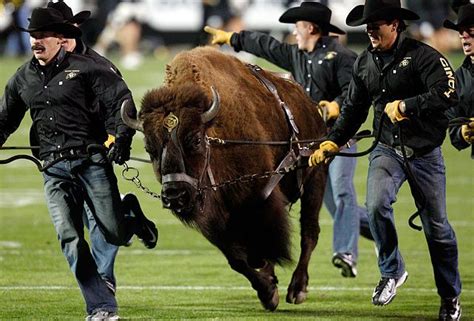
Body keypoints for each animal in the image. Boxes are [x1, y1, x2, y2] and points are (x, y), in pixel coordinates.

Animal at [123, 46, 330, 308]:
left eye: (195, 140)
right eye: (149, 148)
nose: (174, 195)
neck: (216, 137)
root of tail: (309, 104)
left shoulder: (261, 197)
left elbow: (263, 242)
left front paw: (272, 289)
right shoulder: (214, 221)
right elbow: (237, 259)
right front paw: (268, 291)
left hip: (316, 177)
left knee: (309, 232)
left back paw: (297, 289)